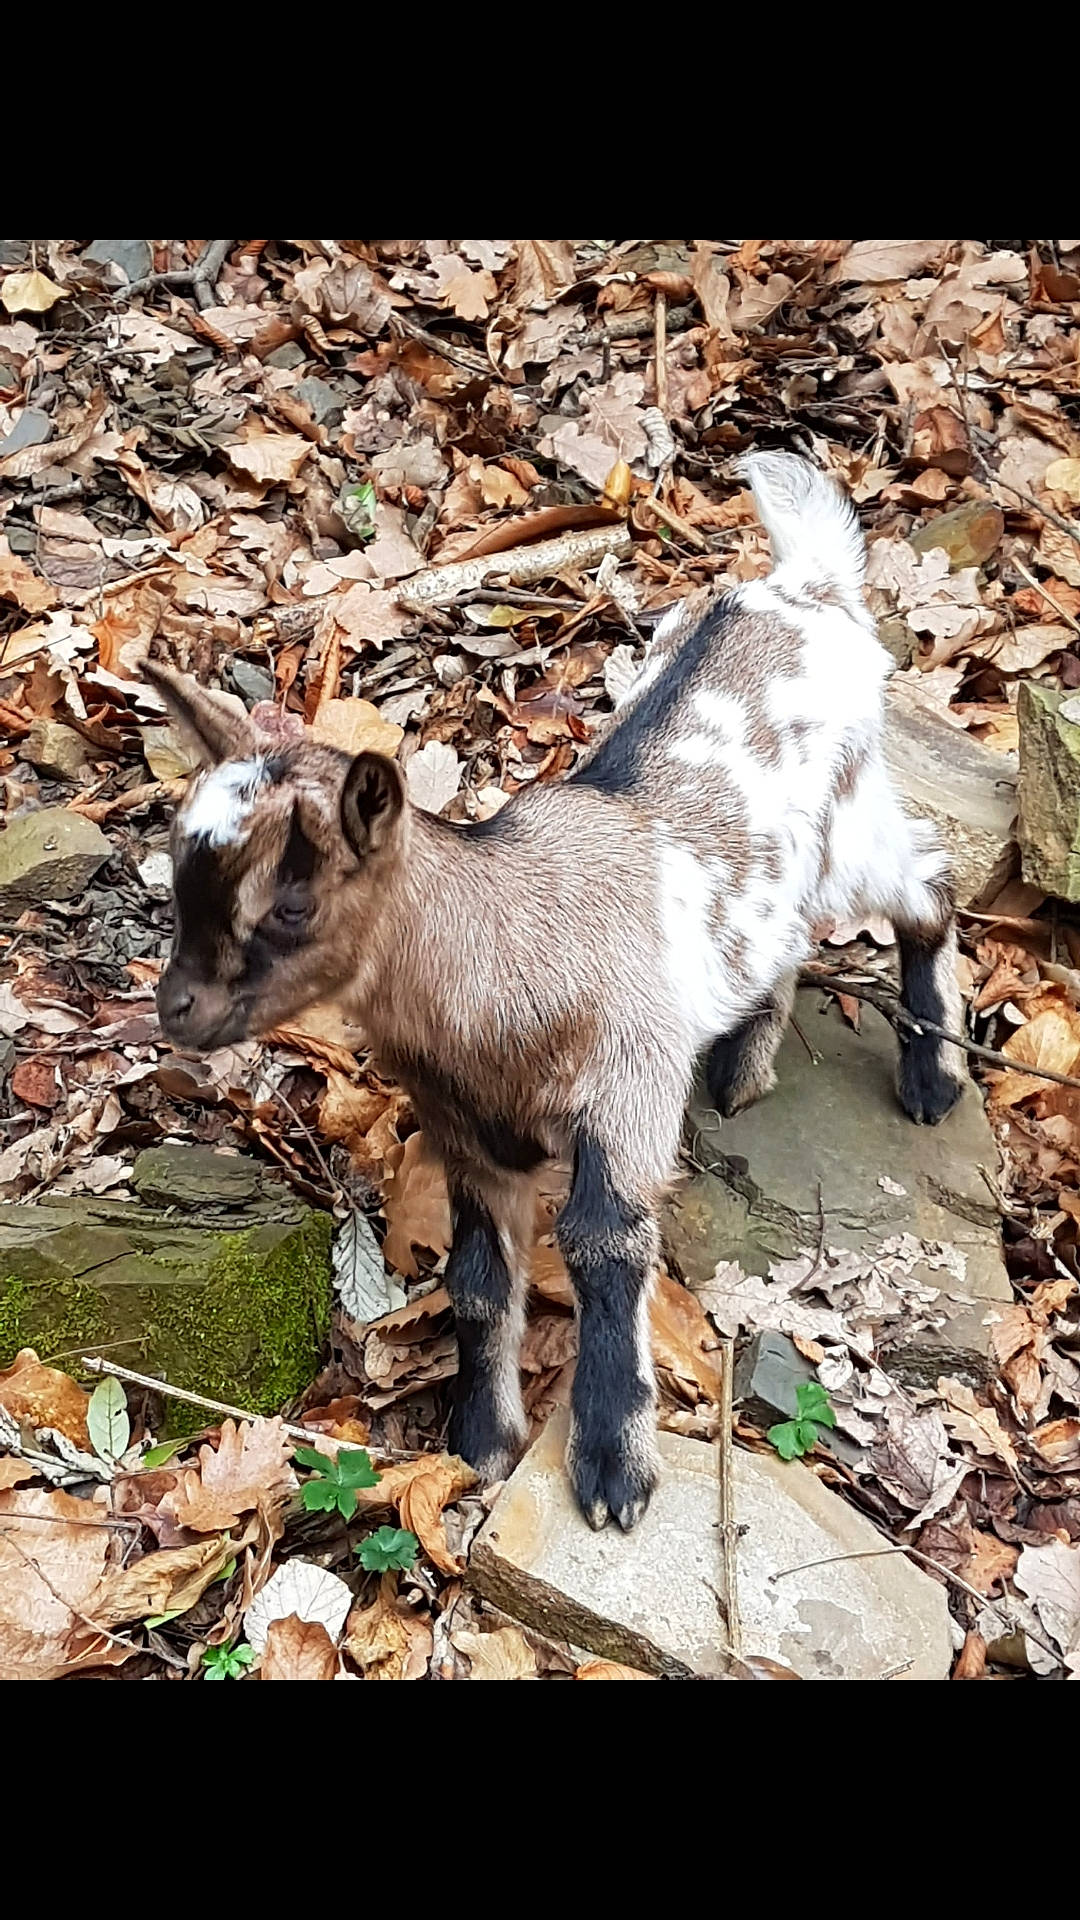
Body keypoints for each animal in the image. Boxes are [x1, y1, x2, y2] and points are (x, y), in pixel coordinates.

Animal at [147, 452, 964, 1533]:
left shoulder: (627, 1092)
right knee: (782, 934)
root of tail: (803, 585)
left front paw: (615, 1468)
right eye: (177, 873)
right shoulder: (469, 1134)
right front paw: (481, 1441)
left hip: (852, 821)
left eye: (289, 906)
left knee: (927, 885)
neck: (508, 956)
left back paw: (932, 1077)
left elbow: (603, 1242)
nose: (177, 1011)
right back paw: (744, 1062)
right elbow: (480, 1279)